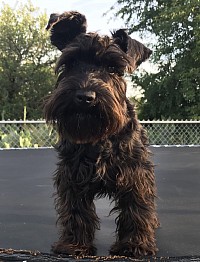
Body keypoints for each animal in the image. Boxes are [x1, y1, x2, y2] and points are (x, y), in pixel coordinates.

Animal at [44, 10, 159, 258]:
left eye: (112, 68)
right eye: (71, 62)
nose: (85, 97)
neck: (99, 138)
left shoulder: (136, 175)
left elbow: (136, 209)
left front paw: (134, 245)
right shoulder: (72, 176)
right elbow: (76, 210)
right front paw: (74, 245)